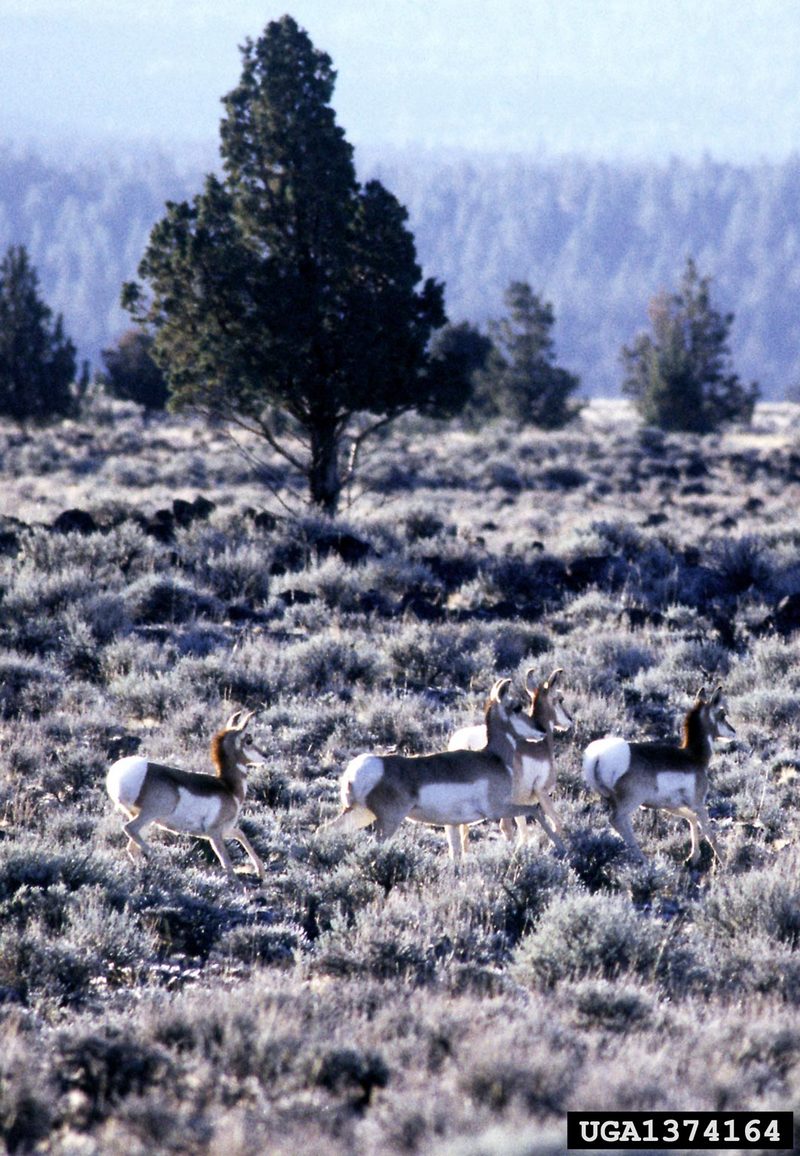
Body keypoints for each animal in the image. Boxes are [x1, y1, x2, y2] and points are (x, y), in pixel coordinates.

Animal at [104, 702, 267, 883]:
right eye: (249, 740)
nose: (265, 755)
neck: (229, 788)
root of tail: (124, 772)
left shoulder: (224, 830)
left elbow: (240, 834)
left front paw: (261, 871)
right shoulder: (214, 834)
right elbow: (227, 864)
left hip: (145, 819)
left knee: (131, 846)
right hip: (151, 815)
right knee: (129, 829)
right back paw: (161, 861)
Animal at [319, 675, 550, 860]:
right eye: (517, 707)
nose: (541, 730)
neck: (494, 758)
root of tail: (366, 767)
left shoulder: (453, 824)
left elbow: (456, 854)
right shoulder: (499, 809)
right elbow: (536, 811)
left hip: (359, 814)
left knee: (325, 830)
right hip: (387, 822)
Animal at [446, 670, 571, 860]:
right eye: (560, 698)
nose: (570, 720)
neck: (540, 746)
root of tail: (466, 743)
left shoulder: (520, 802)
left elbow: (524, 831)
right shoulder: (541, 792)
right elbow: (557, 822)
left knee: (460, 831)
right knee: (503, 827)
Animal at [580, 684, 735, 869]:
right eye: (722, 714)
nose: (733, 731)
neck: (693, 756)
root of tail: (597, 756)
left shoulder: (668, 806)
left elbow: (690, 818)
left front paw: (692, 857)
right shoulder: (698, 804)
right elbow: (710, 834)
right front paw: (726, 865)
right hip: (629, 803)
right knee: (617, 820)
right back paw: (645, 861)